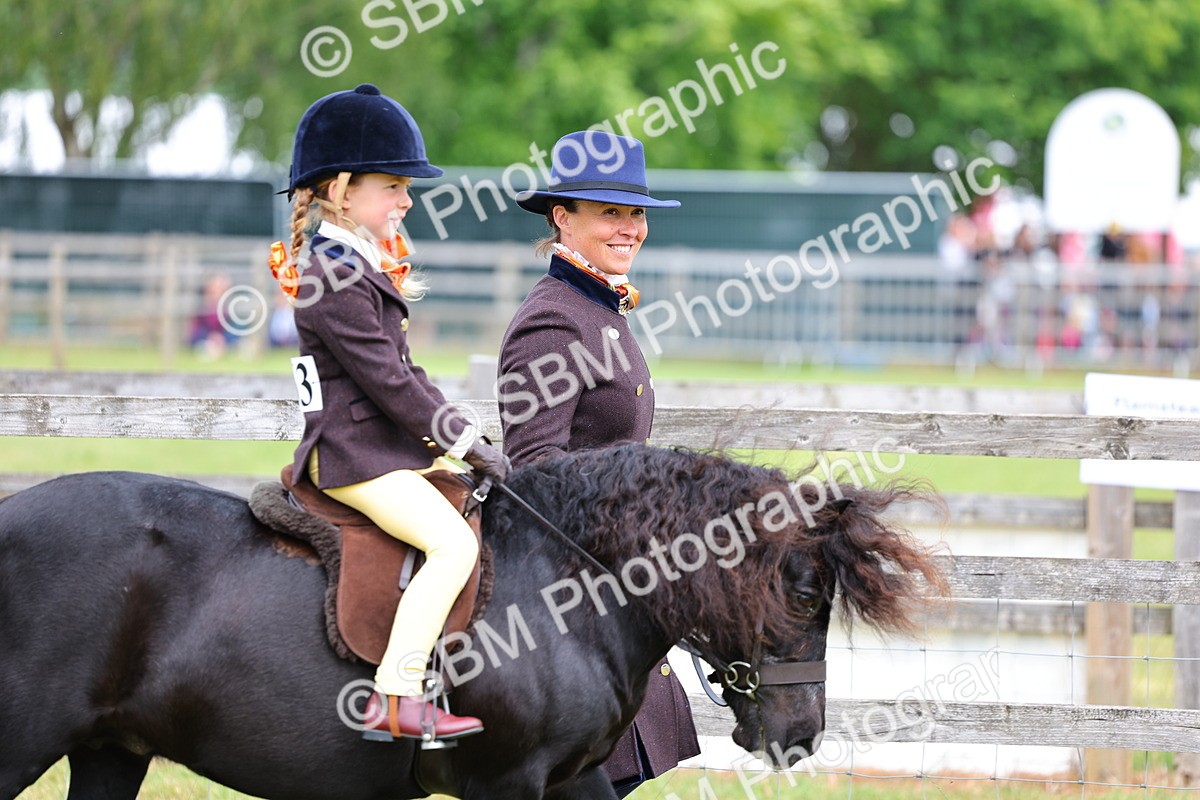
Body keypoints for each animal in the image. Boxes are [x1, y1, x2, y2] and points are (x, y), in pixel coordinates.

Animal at [0, 443, 942, 800]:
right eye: (806, 598)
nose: (802, 736)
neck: (572, 580)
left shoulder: (567, 782)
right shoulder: (505, 783)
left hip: (111, 750)